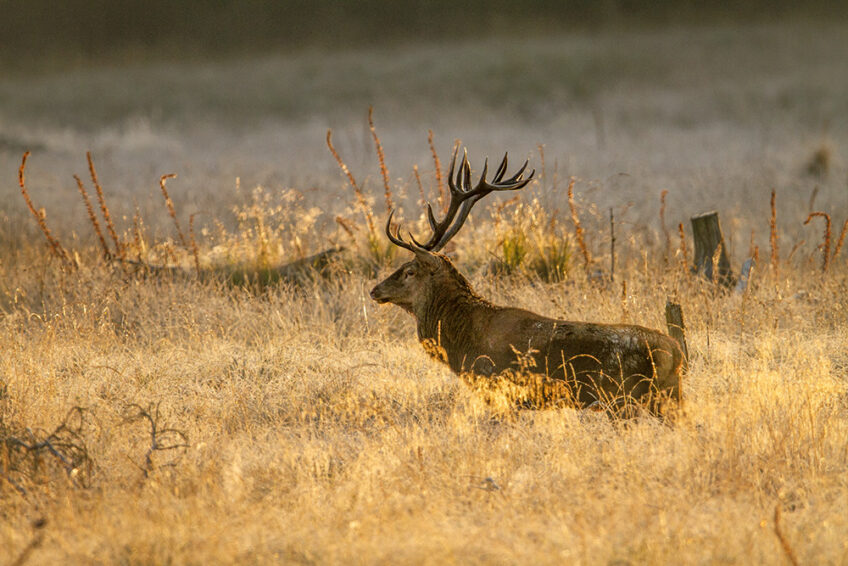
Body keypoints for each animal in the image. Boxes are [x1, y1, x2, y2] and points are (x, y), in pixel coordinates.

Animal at [370, 148, 684, 415]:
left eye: (410, 270)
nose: (375, 290)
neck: (463, 340)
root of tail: (676, 352)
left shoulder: (498, 387)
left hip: (625, 397)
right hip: (664, 397)